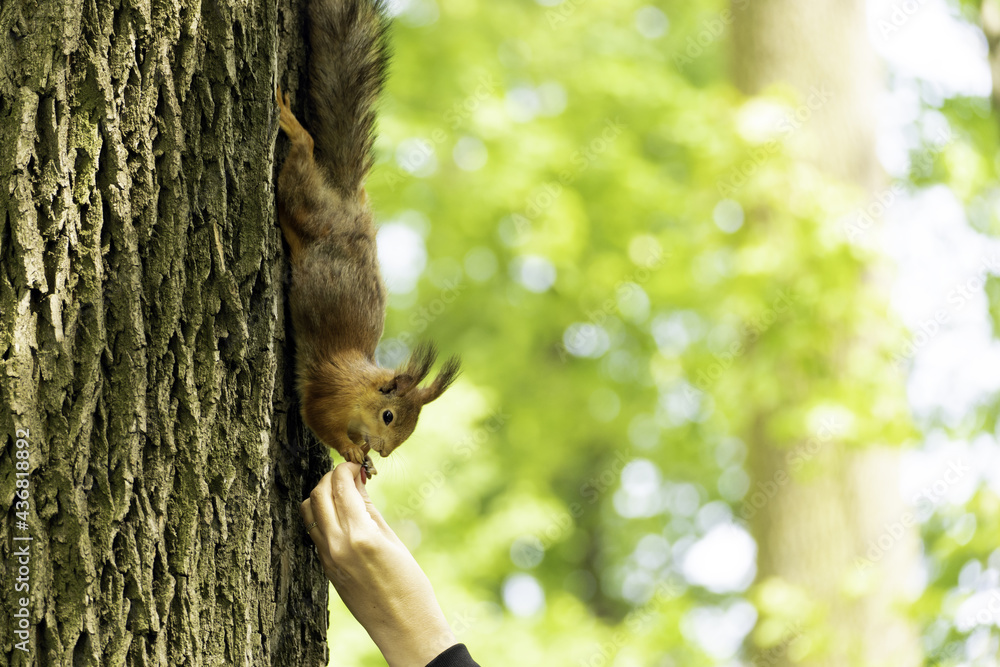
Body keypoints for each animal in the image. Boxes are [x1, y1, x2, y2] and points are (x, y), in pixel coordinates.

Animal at [274, 0, 460, 474]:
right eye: (390, 416)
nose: (385, 451)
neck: (359, 385)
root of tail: (345, 197)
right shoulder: (327, 392)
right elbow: (318, 419)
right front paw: (352, 449)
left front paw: (368, 463)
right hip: (304, 207)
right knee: (300, 167)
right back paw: (294, 128)